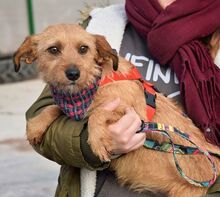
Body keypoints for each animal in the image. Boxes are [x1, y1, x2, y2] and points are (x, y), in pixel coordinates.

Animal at [13, 24, 220, 197]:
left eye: (83, 49)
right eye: (53, 49)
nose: (73, 74)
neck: (94, 84)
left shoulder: (135, 116)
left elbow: (98, 113)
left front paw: (97, 141)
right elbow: (53, 107)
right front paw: (36, 126)